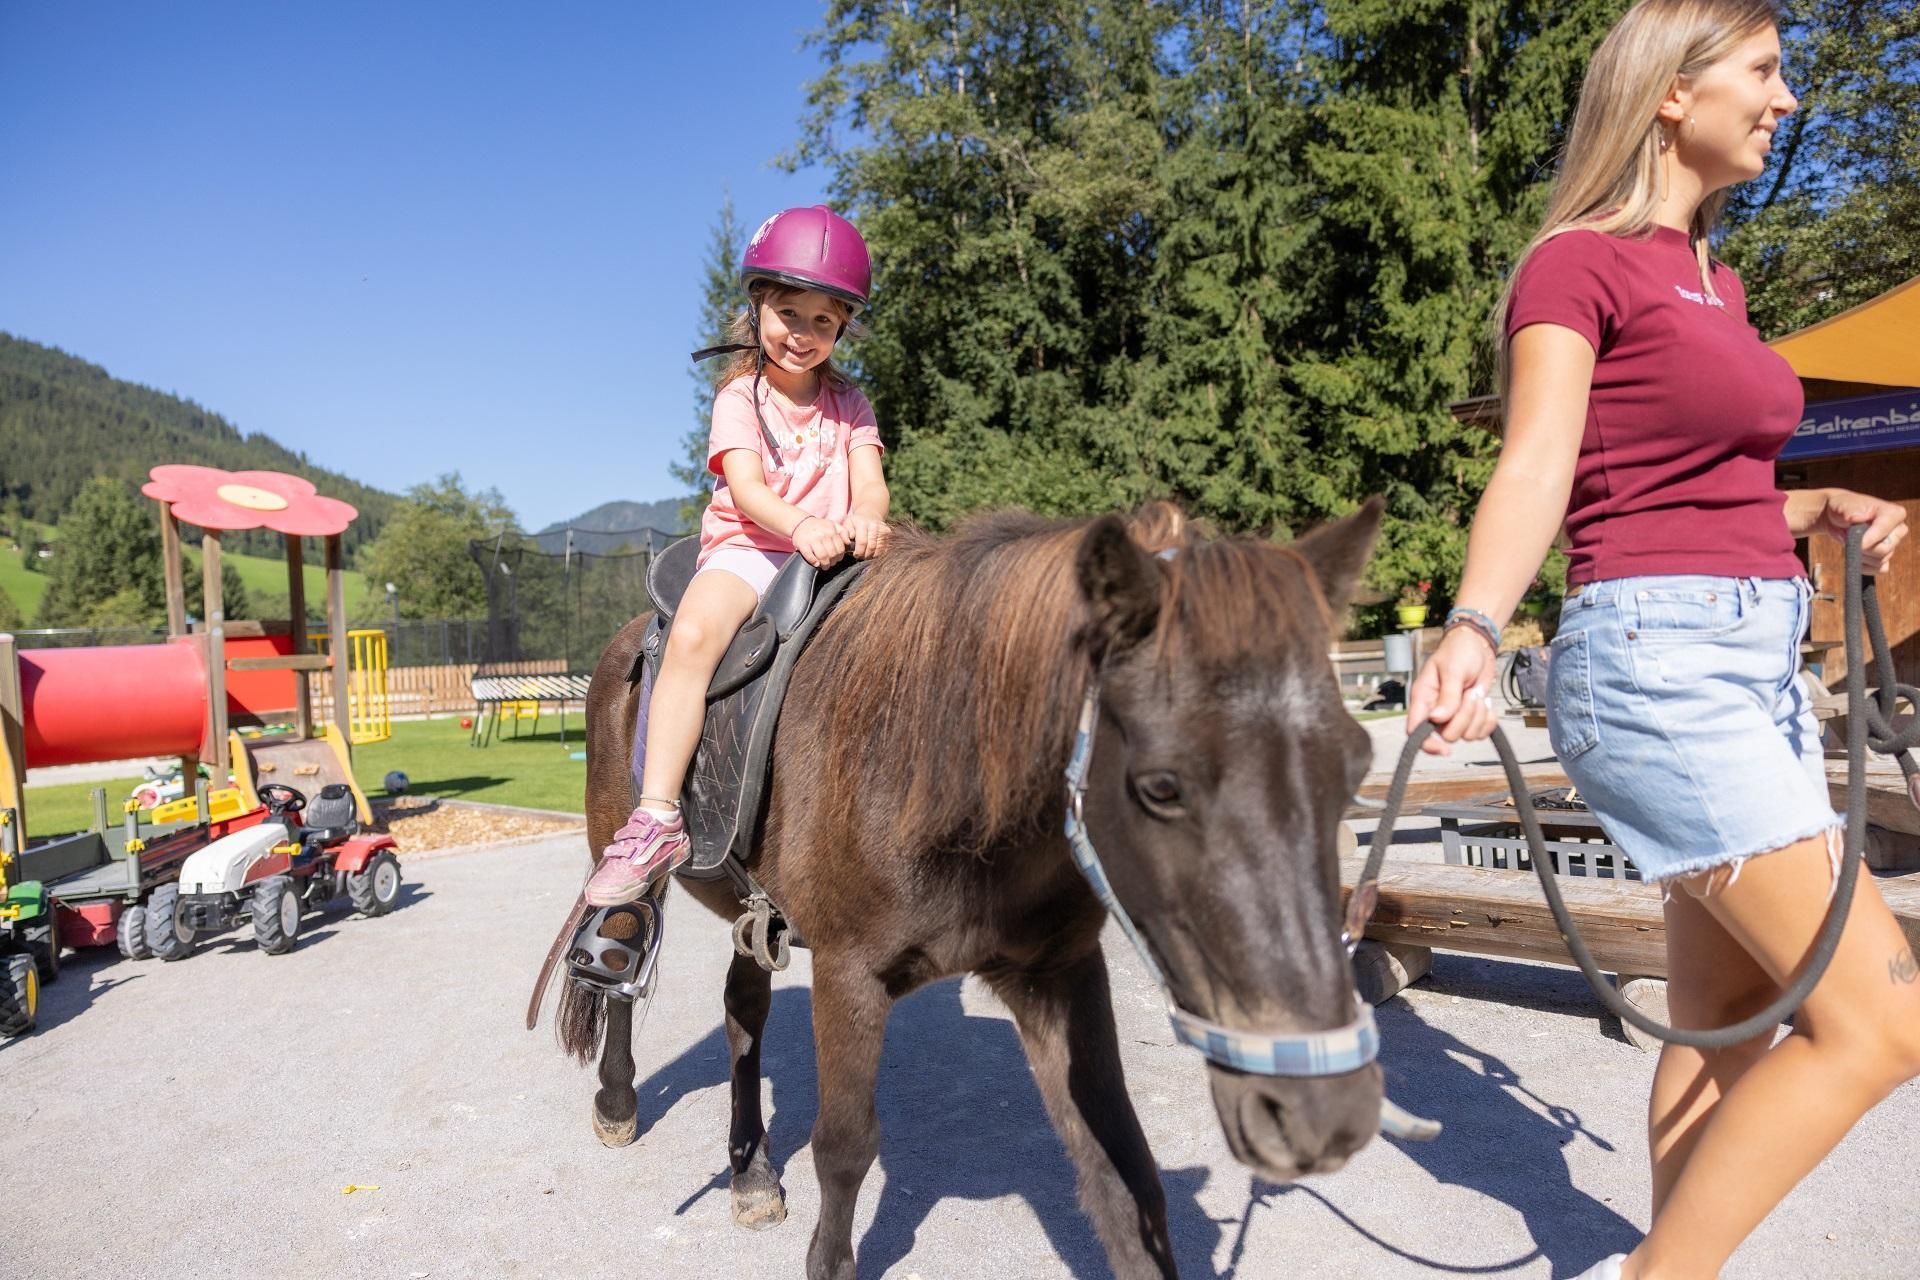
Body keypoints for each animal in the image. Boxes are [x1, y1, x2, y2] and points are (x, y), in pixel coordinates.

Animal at [554, 497, 1385, 1280]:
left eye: (1355, 768)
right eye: (1160, 785)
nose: (1324, 1110)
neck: (936, 769)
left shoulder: (1058, 976)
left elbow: (1123, 1172)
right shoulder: (849, 976)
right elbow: (845, 1146)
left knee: (742, 1013)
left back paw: (750, 1172)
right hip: (620, 847)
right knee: (618, 964)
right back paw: (618, 1102)